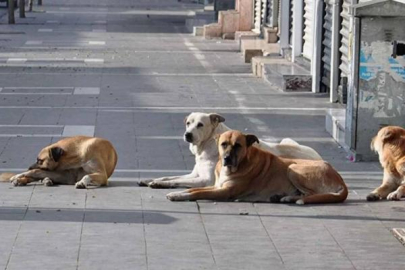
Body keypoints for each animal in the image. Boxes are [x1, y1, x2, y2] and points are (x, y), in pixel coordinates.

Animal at [139, 113, 322, 189]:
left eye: (200, 124)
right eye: (188, 123)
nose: (187, 134)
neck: (206, 146)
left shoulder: (205, 180)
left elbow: (175, 181)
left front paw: (158, 184)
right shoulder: (194, 174)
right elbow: (169, 176)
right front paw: (150, 179)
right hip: (286, 140)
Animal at [167, 131, 348, 205]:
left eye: (238, 145)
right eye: (223, 144)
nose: (226, 158)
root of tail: (340, 179)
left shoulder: (223, 191)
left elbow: (197, 193)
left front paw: (178, 195)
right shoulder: (216, 186)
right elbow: (192, 190)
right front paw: (178, 193)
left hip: (293, 168)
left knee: (312, 194)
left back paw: (290, 198)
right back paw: (284, 197)